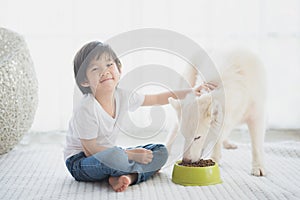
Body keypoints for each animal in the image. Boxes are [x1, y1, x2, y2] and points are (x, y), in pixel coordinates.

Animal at [166, 48, 268, 177]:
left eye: (198, 137)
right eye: (184, 136)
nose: (186, 161)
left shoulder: (256, 116)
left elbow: (256, 146)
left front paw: (258, 167)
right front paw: (215, 159)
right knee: (174, 128)